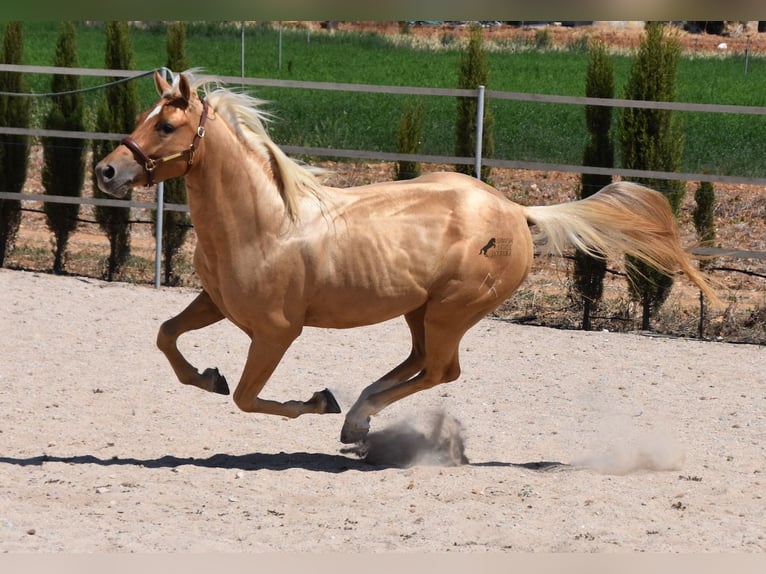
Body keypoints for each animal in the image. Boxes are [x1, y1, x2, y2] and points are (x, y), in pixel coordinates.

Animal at [94, 72, 720, 448]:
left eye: (166, 124)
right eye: (146, 115)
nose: (106, 171)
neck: (267, 222)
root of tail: (517, 211)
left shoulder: (275, 332)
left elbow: (249, 399)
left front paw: (317, 401)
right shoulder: (217, 302)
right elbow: (167, 335)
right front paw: (208, 376)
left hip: (449, 311)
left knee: (441, 369)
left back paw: (352, 417)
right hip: (419, 310)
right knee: (421, 362)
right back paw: (360, 418)